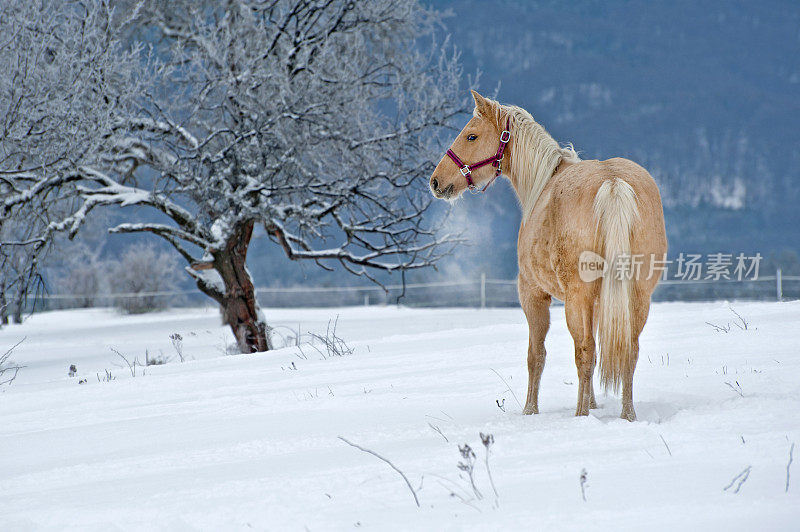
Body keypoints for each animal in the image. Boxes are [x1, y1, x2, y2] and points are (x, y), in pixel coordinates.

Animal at [432, 92, 668, 424]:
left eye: (471, 136)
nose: (436, 182)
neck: (543, 183)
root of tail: (613, 183)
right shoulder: (599, 303)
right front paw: (594, 403)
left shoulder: (532, 294)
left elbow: (536, 355)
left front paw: (530, 410)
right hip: (637, 296)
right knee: (627, 350)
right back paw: (627, 415)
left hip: (576, 298)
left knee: (584, 351)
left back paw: (581, 415)